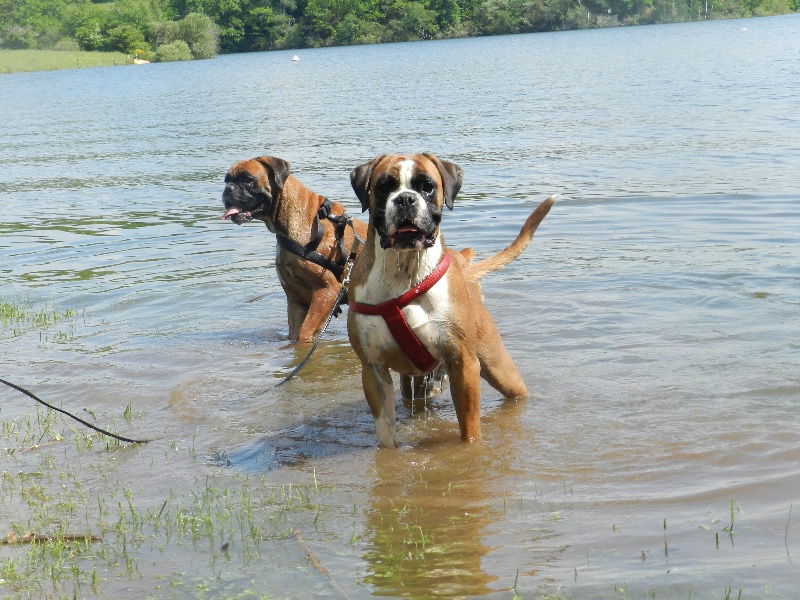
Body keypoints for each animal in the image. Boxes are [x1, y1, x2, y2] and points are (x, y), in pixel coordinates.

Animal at [220, 155, 368, 342]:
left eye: (247, 179)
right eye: (227, 180)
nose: (228, 189)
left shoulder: (326, 292)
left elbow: (304, 334)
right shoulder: (296, 301)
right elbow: (295, 334)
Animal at [350, 155, 556, 446]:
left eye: (427, 186)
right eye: (384, 186)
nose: (405, 199)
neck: (405, 273)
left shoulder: (464, 365)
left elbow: (469, 429)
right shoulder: (373, 370)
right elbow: (386, 431)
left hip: (500, 369)